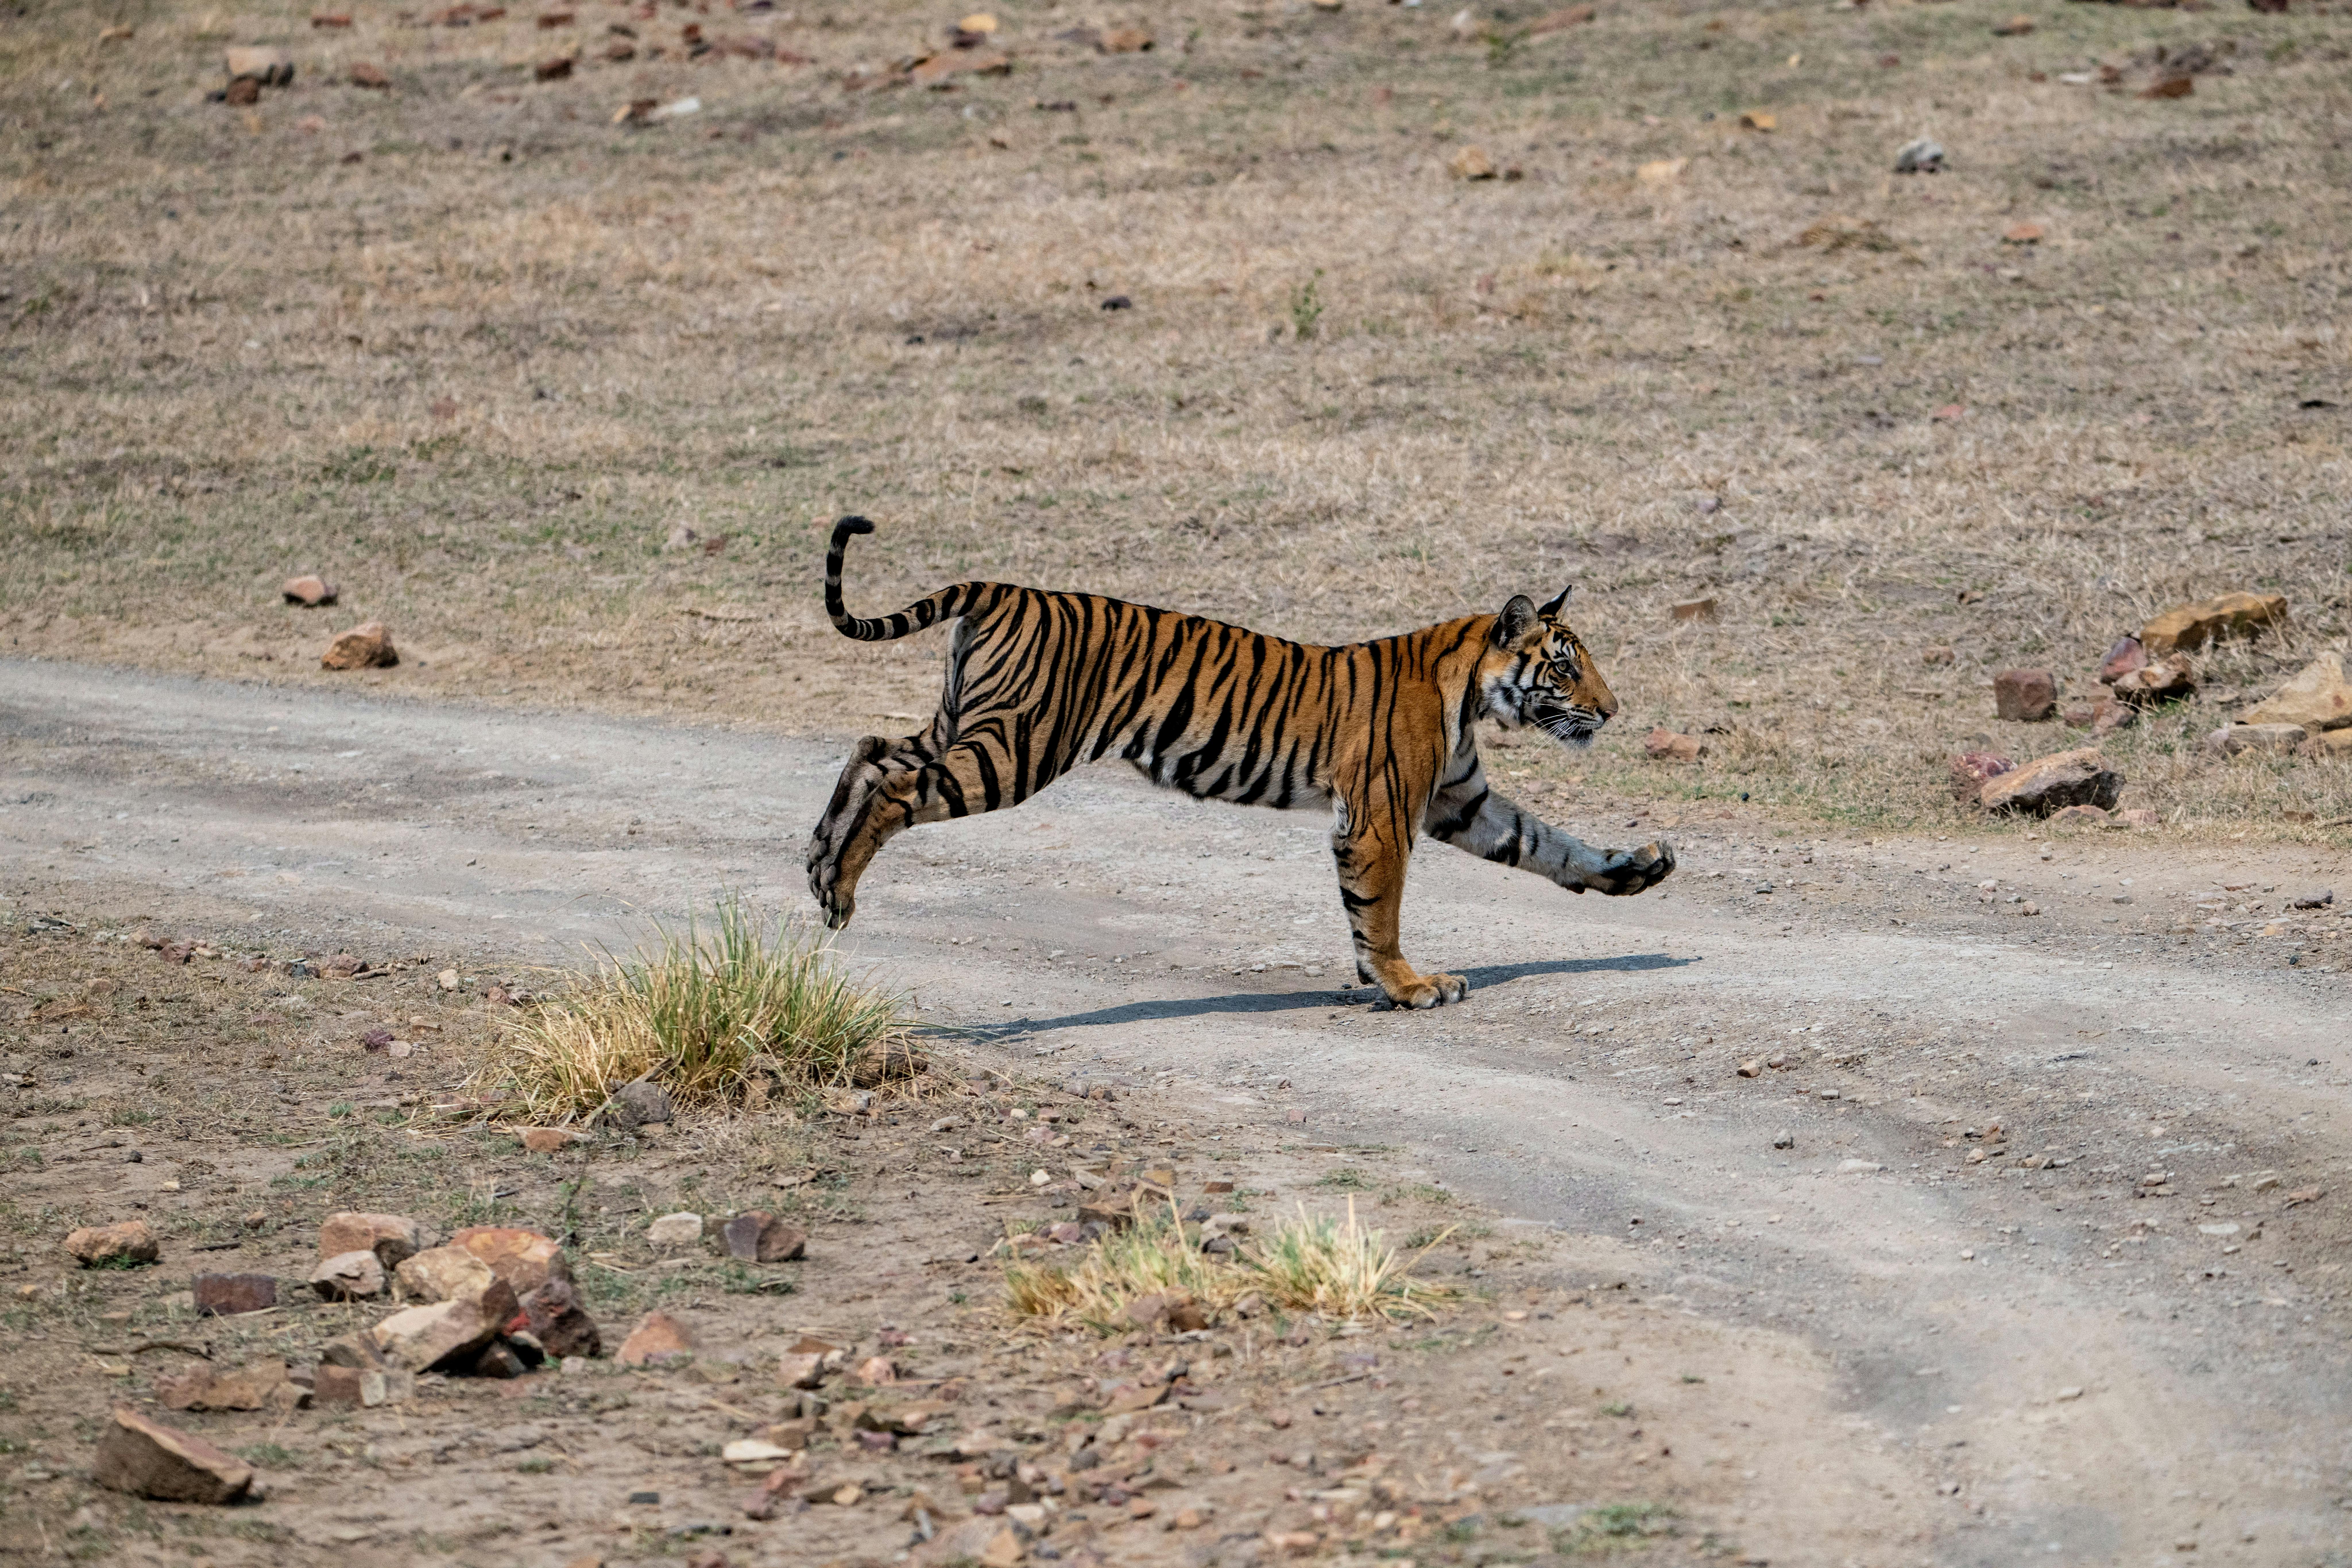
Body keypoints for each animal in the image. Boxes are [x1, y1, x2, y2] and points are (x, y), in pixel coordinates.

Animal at [806, 516, 1675, 1009]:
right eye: (1565, 667)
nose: (1612, 710)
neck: (1466, 694)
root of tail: (1003, 588)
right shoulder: (1383, 816)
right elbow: (1381, 910)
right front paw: (1407, 986)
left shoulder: (1459, 799)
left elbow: (1547, 843)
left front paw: (1635, 868)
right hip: (1015, 746)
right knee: (895, 784)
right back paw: (840, 891)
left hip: (967, 723)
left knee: (870, 749)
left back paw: (818, 865)